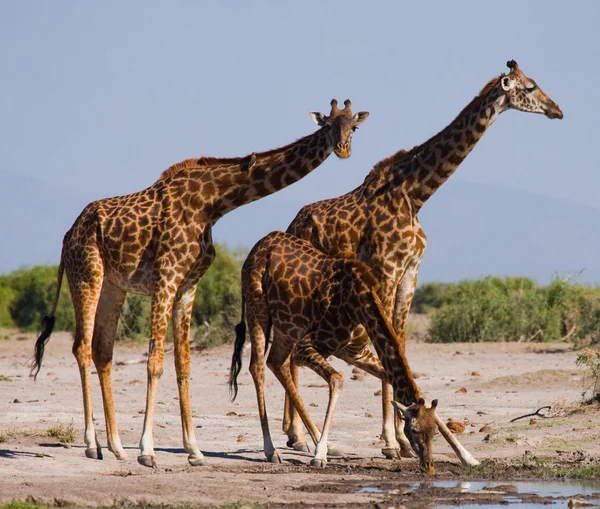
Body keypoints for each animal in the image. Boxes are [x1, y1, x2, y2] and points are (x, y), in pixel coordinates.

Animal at [29, 97, 370, 466]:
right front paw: (147, 450)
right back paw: (93, 445)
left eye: (354, 126)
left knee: (102, 351)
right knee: (80, 347)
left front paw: (193, 450)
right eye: (328, 125)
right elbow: (155, 361)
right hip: (87, 276)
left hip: (113, 287)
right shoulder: (165, 277)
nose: (344, 149)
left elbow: (183, 364)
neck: (213, 204)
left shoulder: (187, 286)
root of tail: (68, 234)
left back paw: (116, 446)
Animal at [229, 230, 474, 472]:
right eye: (413, 430)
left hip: (286, 326)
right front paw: (319, 456)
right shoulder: (306, 346)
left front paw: (468, 457)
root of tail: (257, 248)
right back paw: (272, 450)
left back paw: (323, 443)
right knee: (258, 367)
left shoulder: (354, 352)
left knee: (275, 362)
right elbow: (337, 380)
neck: (359, 302)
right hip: (257, 307)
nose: (429, 467)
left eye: (433, 432)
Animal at [276, 59, 564, 460]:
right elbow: (387, 342)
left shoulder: (411, 273)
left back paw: (295, 435)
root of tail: (293, 223)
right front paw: (391, 441)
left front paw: (399, 438)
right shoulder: (385, 269)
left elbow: (399, 340)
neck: (415, 195)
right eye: (532, 87)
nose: (558, 110)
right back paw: (302, 437)